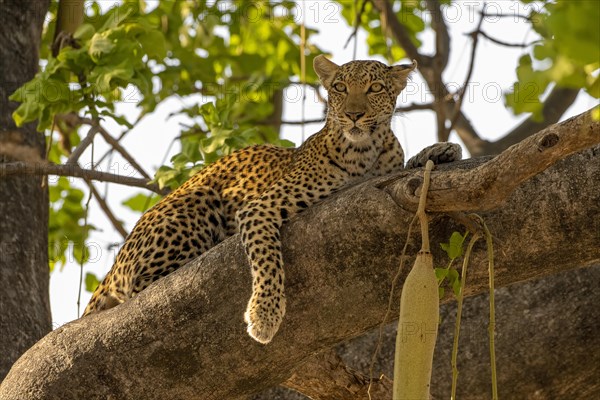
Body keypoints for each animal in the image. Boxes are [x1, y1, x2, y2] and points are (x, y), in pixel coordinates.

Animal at [83, 54, 460, 346]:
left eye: (375, 88)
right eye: (340, 88)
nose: (353, 115)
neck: (365, 151)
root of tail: (114, 265)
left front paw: (440, 149)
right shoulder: (258, 209)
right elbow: (267, 259)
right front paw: (264, 315)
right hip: (194, 203)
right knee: (143, 287)